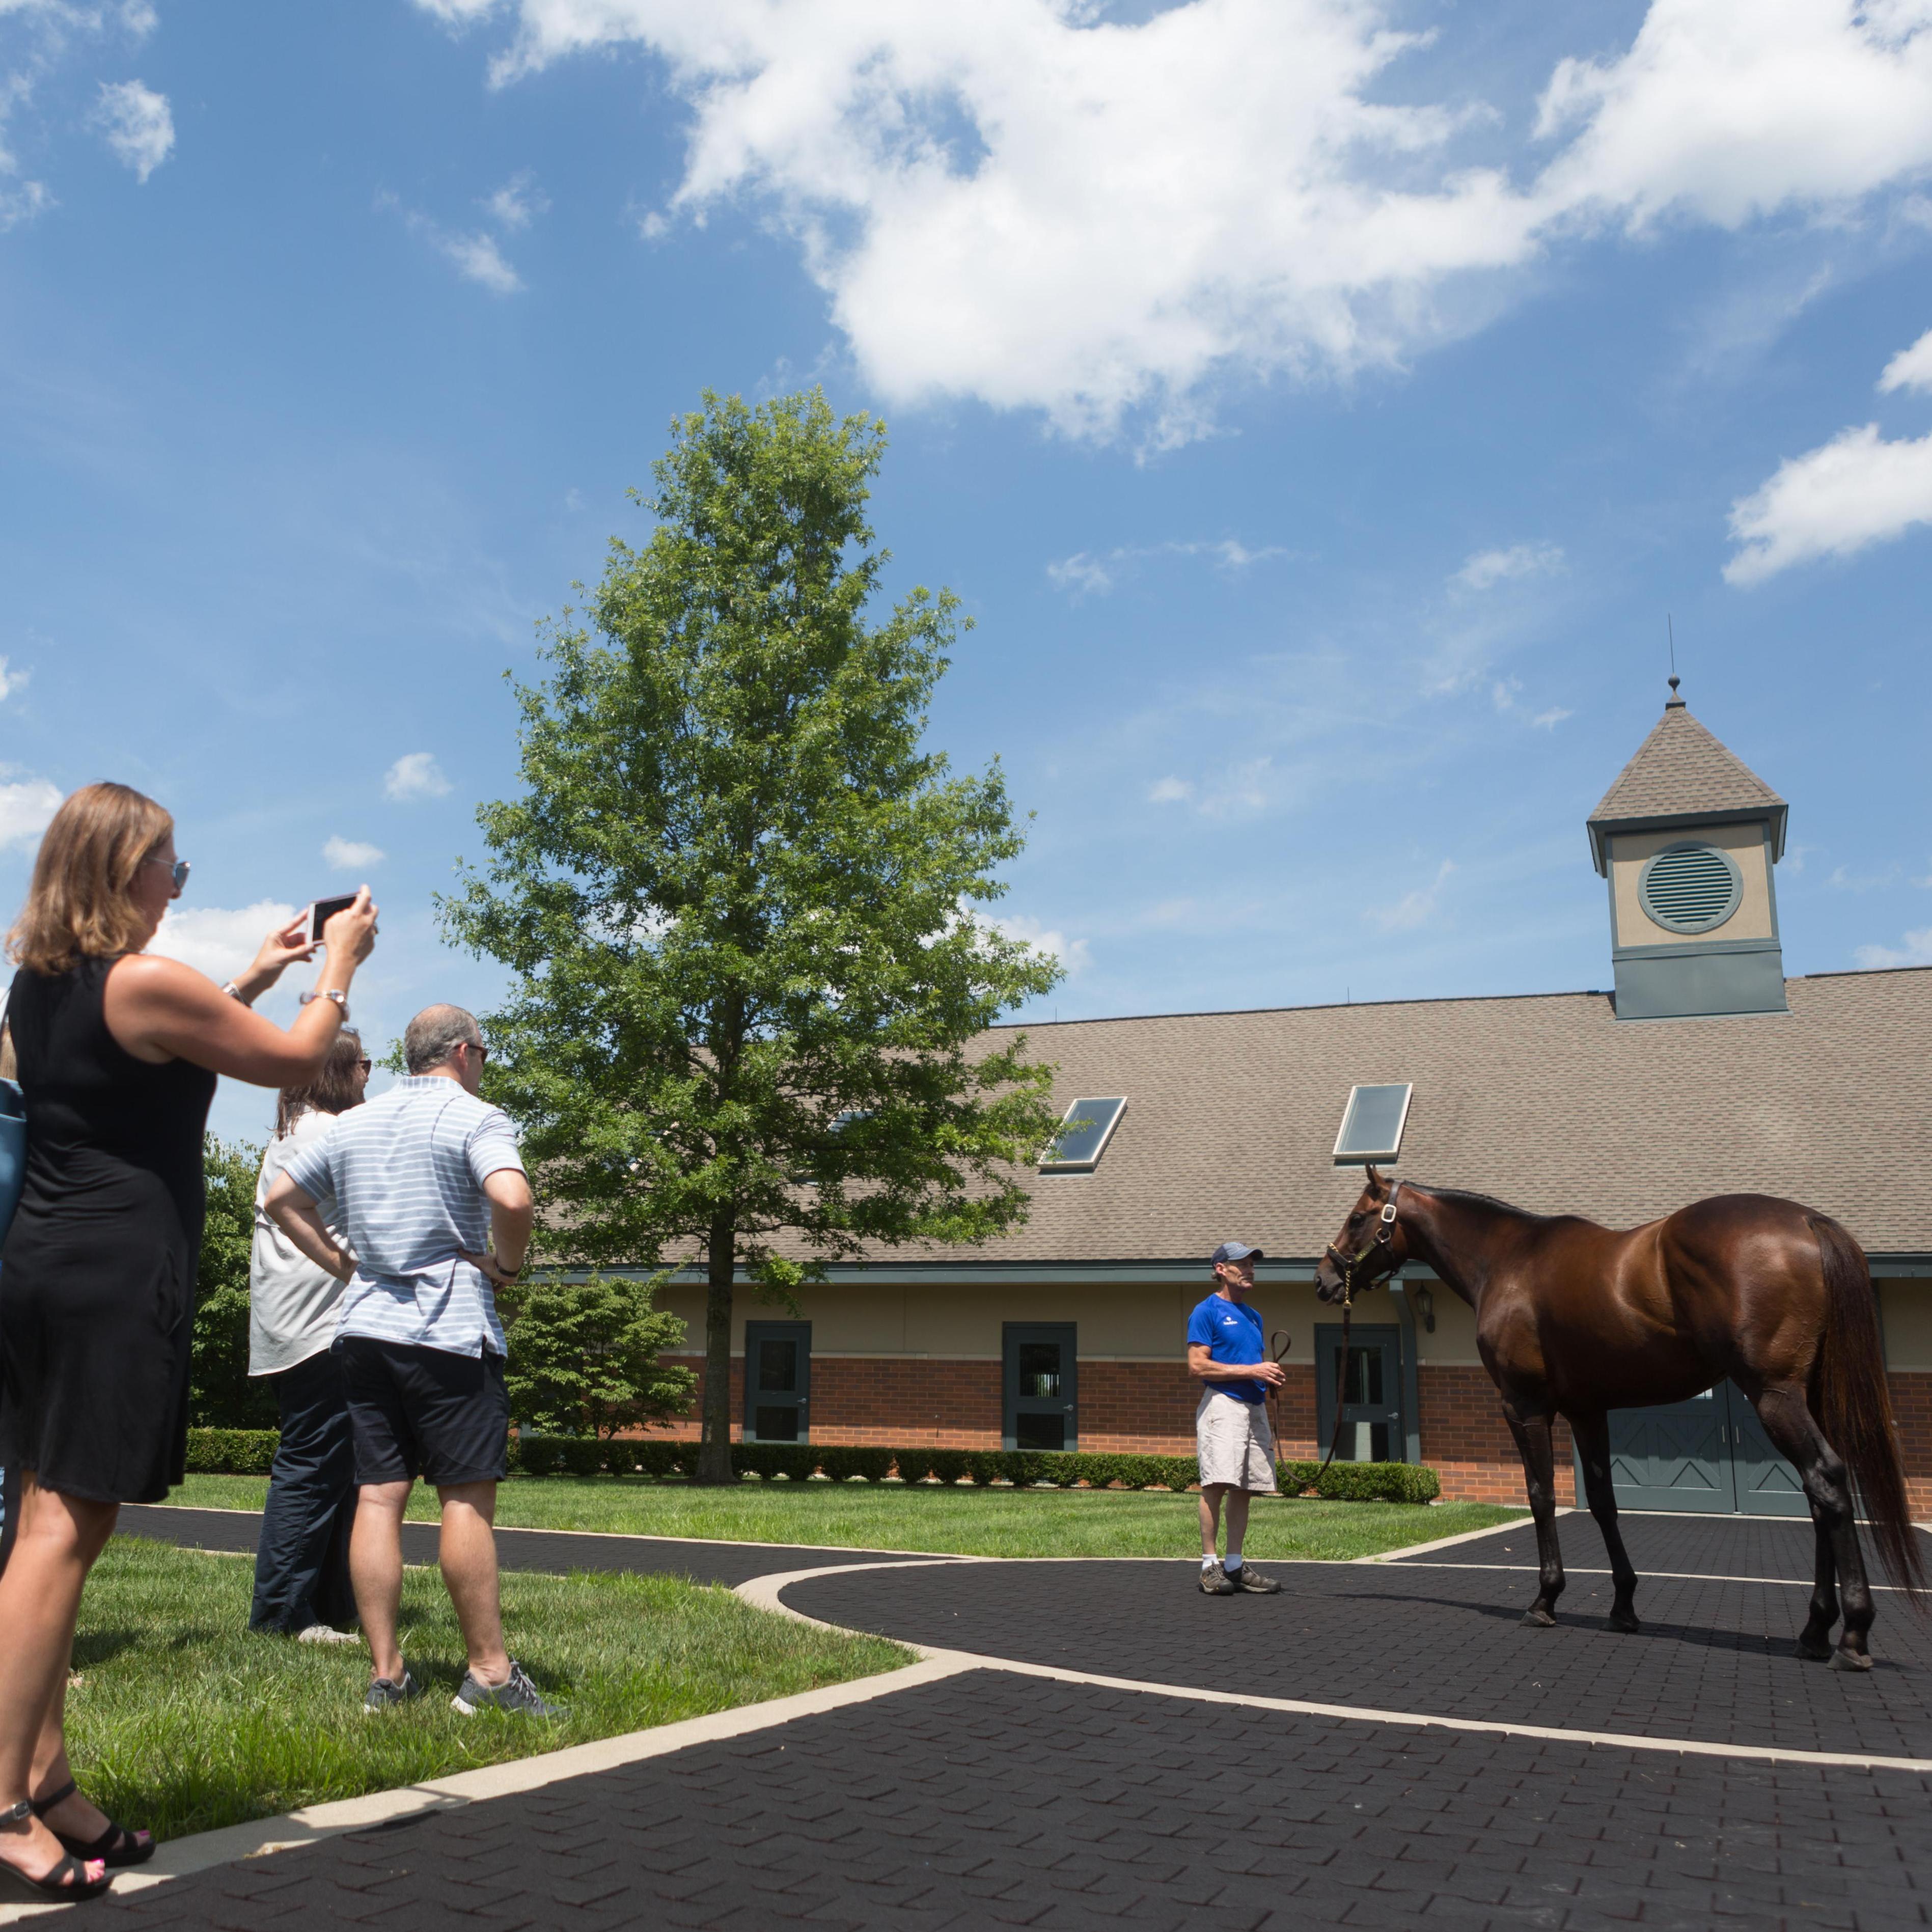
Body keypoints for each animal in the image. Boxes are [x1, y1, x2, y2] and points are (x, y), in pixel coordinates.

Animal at [1313, 1167, 1916, 1669]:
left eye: (1358, 1217)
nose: (1324, 1279)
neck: (1506, 1259)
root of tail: (1808, 1222)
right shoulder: (1588, 1411)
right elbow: (1603, 1503)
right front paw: (1623, 1605)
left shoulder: (1524, 1405)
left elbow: (1540, 1496)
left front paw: (1544, 1598)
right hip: (1806, 1397)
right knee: (1818, 1499)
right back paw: (1814, 1630)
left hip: (1774, 1397)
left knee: (1826, 1481)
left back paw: (1851, 1636)